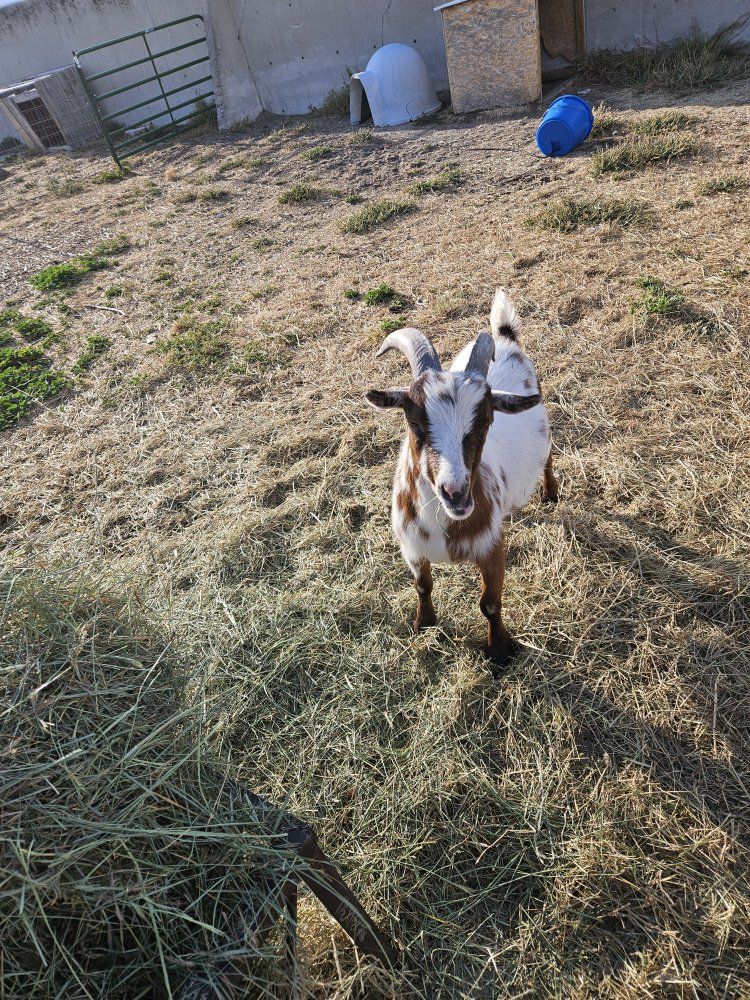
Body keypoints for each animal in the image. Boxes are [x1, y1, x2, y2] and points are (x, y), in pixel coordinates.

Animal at [366, 289, 558, 667]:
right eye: (413, 422)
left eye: (486, 420)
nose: (455, 492)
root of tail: (504, 336)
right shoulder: (412, 549)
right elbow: (422, 586)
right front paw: (423, 624)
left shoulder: (492, 548)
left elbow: (490, 604)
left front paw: (499, 651)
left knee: (548, 456)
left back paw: (551, 494)